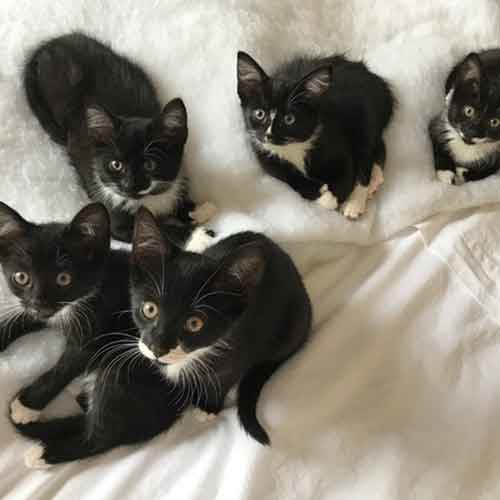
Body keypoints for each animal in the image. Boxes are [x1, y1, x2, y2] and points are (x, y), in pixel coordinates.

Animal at [23, 31, 216, 242]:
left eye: (150, 164)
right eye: (116, 165)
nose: (130, 185)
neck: (148, 199)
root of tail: (47, 45)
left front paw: (197, 209)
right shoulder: (113, 215)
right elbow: (151, 229)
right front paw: (199, 237)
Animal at [131, 207, 310, 446]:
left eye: (194, 323)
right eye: (150, 309)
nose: (158, 348)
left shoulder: (240, 348)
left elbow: (225, 376)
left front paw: (208, 407)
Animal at [236, 50, 396, 219]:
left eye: (289, 119)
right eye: (259, 114)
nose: (269, 135)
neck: (294, 146)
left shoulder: (335, 137)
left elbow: (346, 177)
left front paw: (335, 198)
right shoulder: (265, 157)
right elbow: (290, 178)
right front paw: (325, 197)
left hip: (365, 112)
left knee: (369, 151)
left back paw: (359, 197)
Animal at [428, 50, 500, 186]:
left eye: (495, 122)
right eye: (469, 111)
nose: (472, 132)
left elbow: (490, 170)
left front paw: (463, 174)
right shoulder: (437, 124)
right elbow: (436, 144)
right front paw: (445, 173)